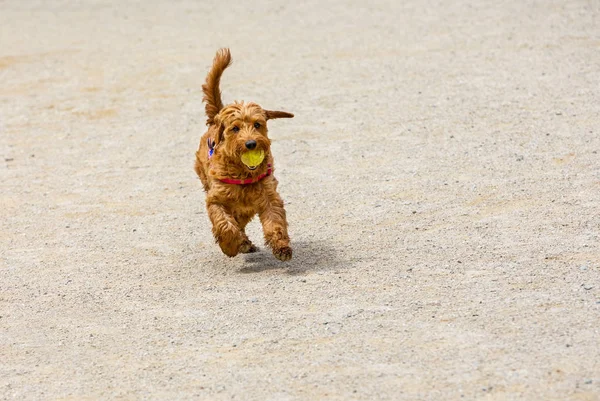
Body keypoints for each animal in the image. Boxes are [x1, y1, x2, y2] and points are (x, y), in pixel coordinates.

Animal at [193, 48, 294, 260]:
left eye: (257, 124)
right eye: (235, 128)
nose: (251, 144)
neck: (242, 173)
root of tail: (215, 119)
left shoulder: (268, 196)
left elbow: (275, 221)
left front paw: (281, 246)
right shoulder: (216, 200)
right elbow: (225, 225)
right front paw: (230, 246)